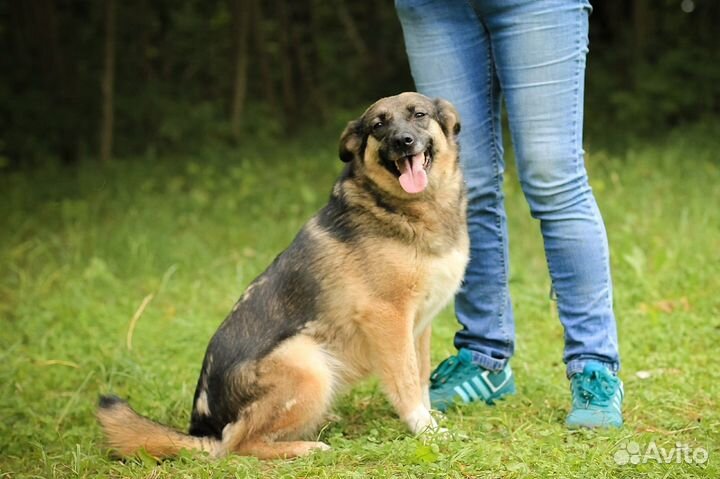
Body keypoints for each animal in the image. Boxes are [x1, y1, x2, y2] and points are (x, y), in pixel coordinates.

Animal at [98, 91, 470, 462]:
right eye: (379, 125)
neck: (405, 206)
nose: (402, 141)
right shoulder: (387, 318)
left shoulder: (419, 325)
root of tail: (205, 431)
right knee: (238, 445)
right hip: (308, 366)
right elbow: (406, 384)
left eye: (419, 115)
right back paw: (307, 447)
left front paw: (430, 421)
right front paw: (426, 432)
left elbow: (420, 378)